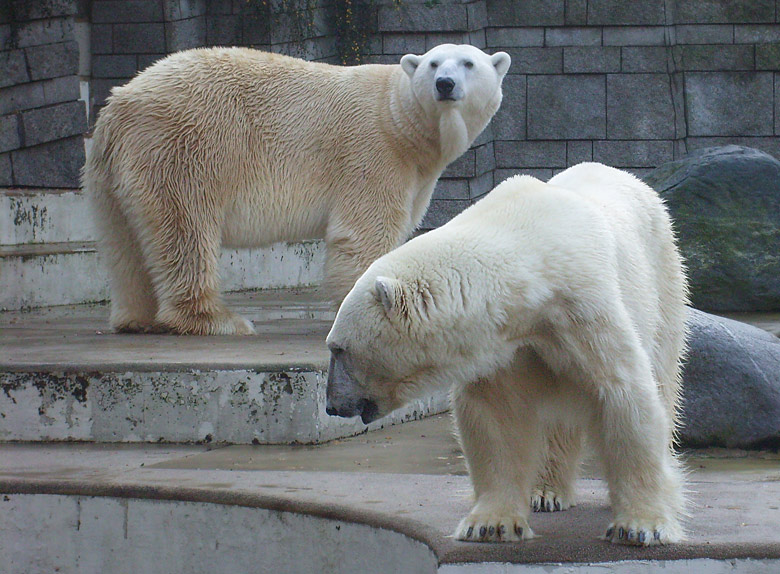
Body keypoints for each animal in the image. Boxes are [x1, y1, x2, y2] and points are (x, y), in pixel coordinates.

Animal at [84, 46, 512, 338]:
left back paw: (137, 318)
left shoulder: (415, 171)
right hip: (185, 144)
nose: (445, 84)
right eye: (434, 64)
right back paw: (218, 319)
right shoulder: (373, 150)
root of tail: (119, 105)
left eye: (469, 63)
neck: (399, 117)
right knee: (186, 226)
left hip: (110, 170)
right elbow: (365, 232)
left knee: (124, 242)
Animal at [326, 163, 692, 548]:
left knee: (664, 374)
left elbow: (622, 394)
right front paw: (490, 524)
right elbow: (494, 416)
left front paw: (640, 526)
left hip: (663, 275)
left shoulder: (582, 310)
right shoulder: (501, 345)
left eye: (339, 349)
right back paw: (545, 492)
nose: (332, 404)